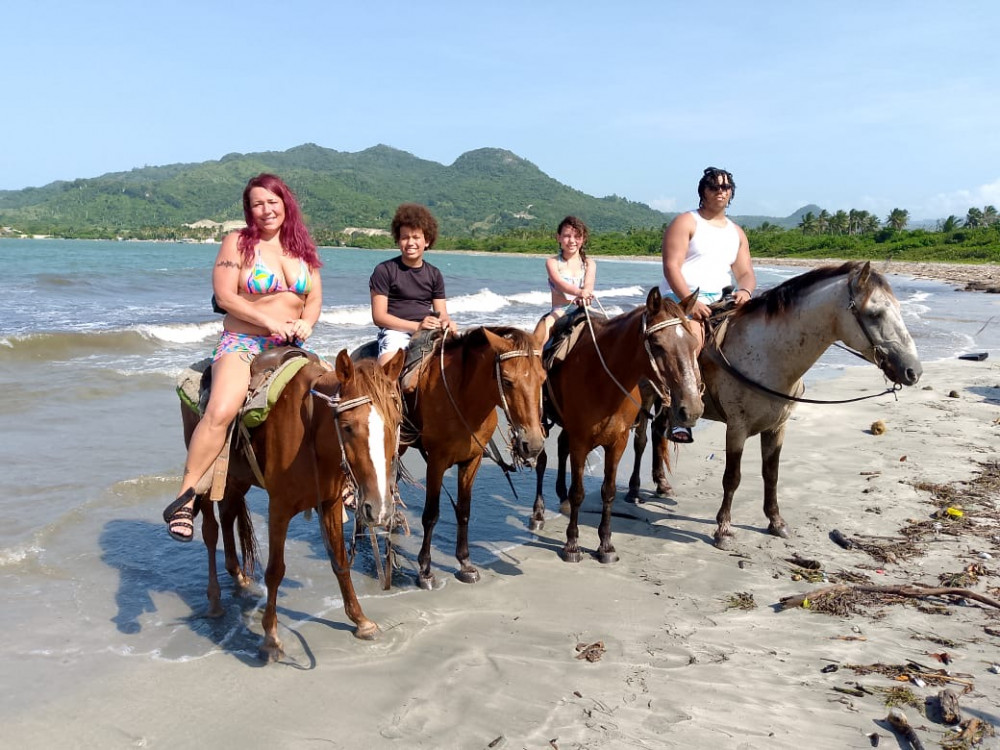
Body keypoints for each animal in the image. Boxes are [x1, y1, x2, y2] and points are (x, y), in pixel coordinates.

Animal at [180, 350, 402, 660]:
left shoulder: (330, 503)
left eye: (396, 421)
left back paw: (239, 578)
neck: (311, 431)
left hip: (235, 478)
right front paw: (270, 638)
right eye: (347, 427)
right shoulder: (279, 508)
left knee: (227, 515)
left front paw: (360, 620)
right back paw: (214, 601)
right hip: (207, 477)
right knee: (210, 531)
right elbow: (275, 571)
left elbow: (340, 561)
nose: (379, 509)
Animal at [532, 290, 704, 568]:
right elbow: (578, 491)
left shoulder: (617, 442)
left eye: (693, 344)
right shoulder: (581, 441)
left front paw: (605, 544)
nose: (692, 408)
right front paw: (572, 544)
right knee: (542, 460)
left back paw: (561, 497)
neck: (601, 378)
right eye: (657, 344)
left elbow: (609, 491)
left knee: (560, 449)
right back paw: (538, 513)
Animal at [624, 262, 920, 548]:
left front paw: (776, 521)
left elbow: (771, 474)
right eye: (875, 314)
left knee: (659, 432)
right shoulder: (737, 427)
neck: (768, 355)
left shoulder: (777, 427)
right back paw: (634, 490)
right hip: (647, 395)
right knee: (641, 440)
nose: (913, 371)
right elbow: (732, 477)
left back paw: (662, 484)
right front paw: (724, 530)